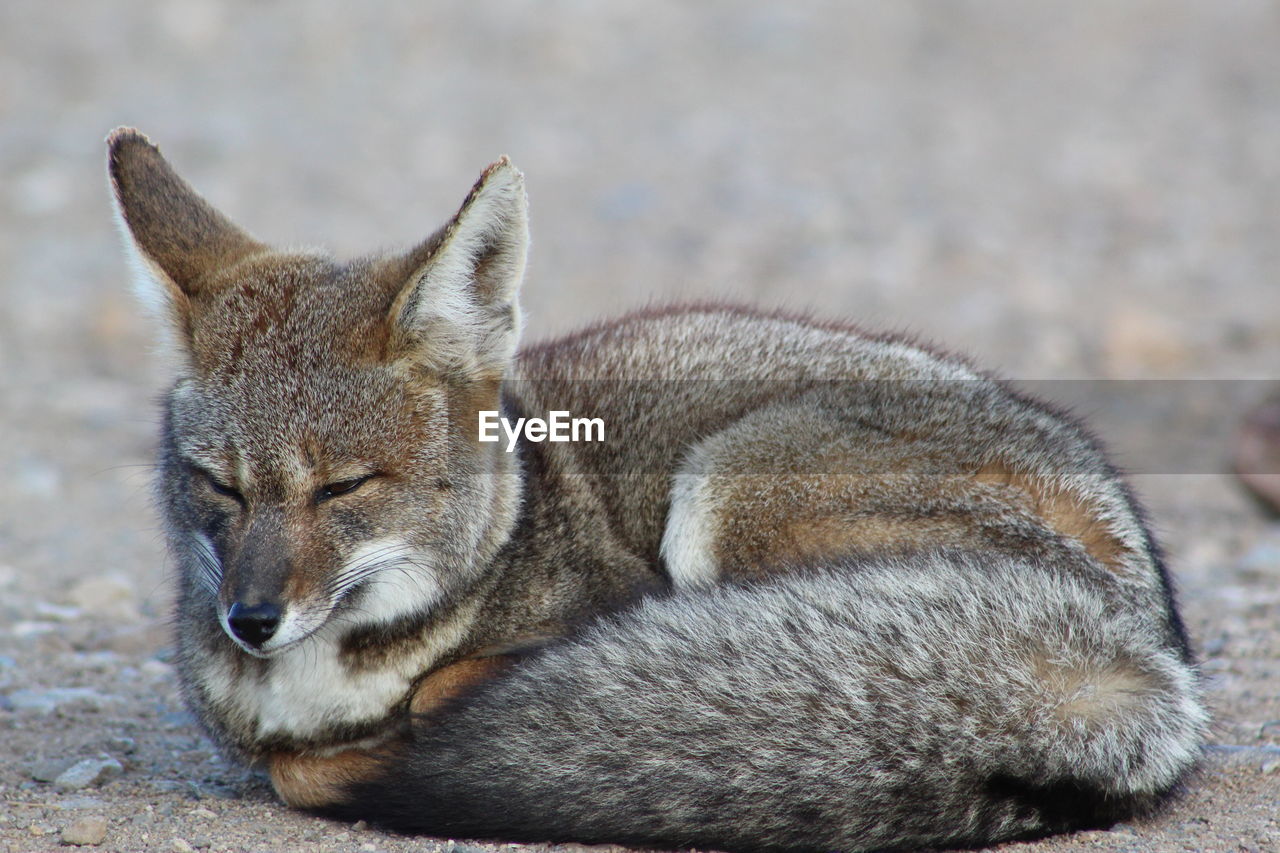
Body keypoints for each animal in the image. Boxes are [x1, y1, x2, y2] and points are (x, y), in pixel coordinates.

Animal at [104, 128, 1203, 850]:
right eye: (219, 485)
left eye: (343, 487)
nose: (250, 619)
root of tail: (1144, 636)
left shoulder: (614, 595)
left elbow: (403, 709)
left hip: (727, 492)